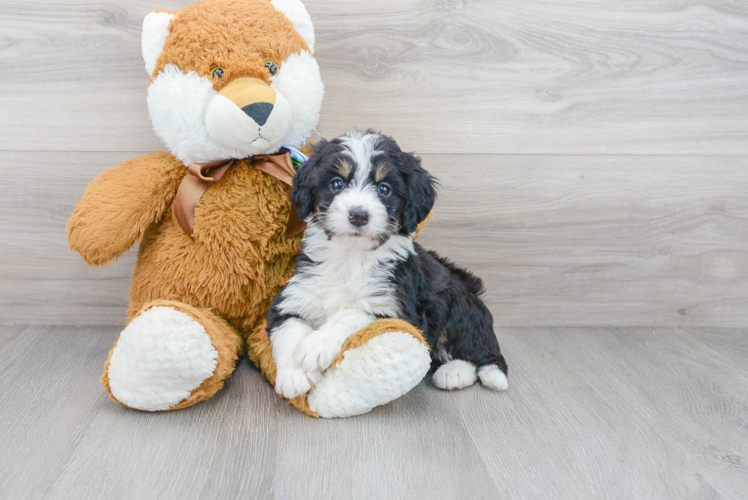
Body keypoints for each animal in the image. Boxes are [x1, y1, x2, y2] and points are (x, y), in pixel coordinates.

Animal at [268, 131, 508, 400]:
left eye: (384, 189)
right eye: (336, 184)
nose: (358, 215)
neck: (352, 258)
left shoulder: (397, 309)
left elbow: (353, 313)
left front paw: (316, 346)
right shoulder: (293, 297)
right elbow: (288, 328)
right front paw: (293, 375)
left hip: (458, 304)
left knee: (483, 355)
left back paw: (456, 373)